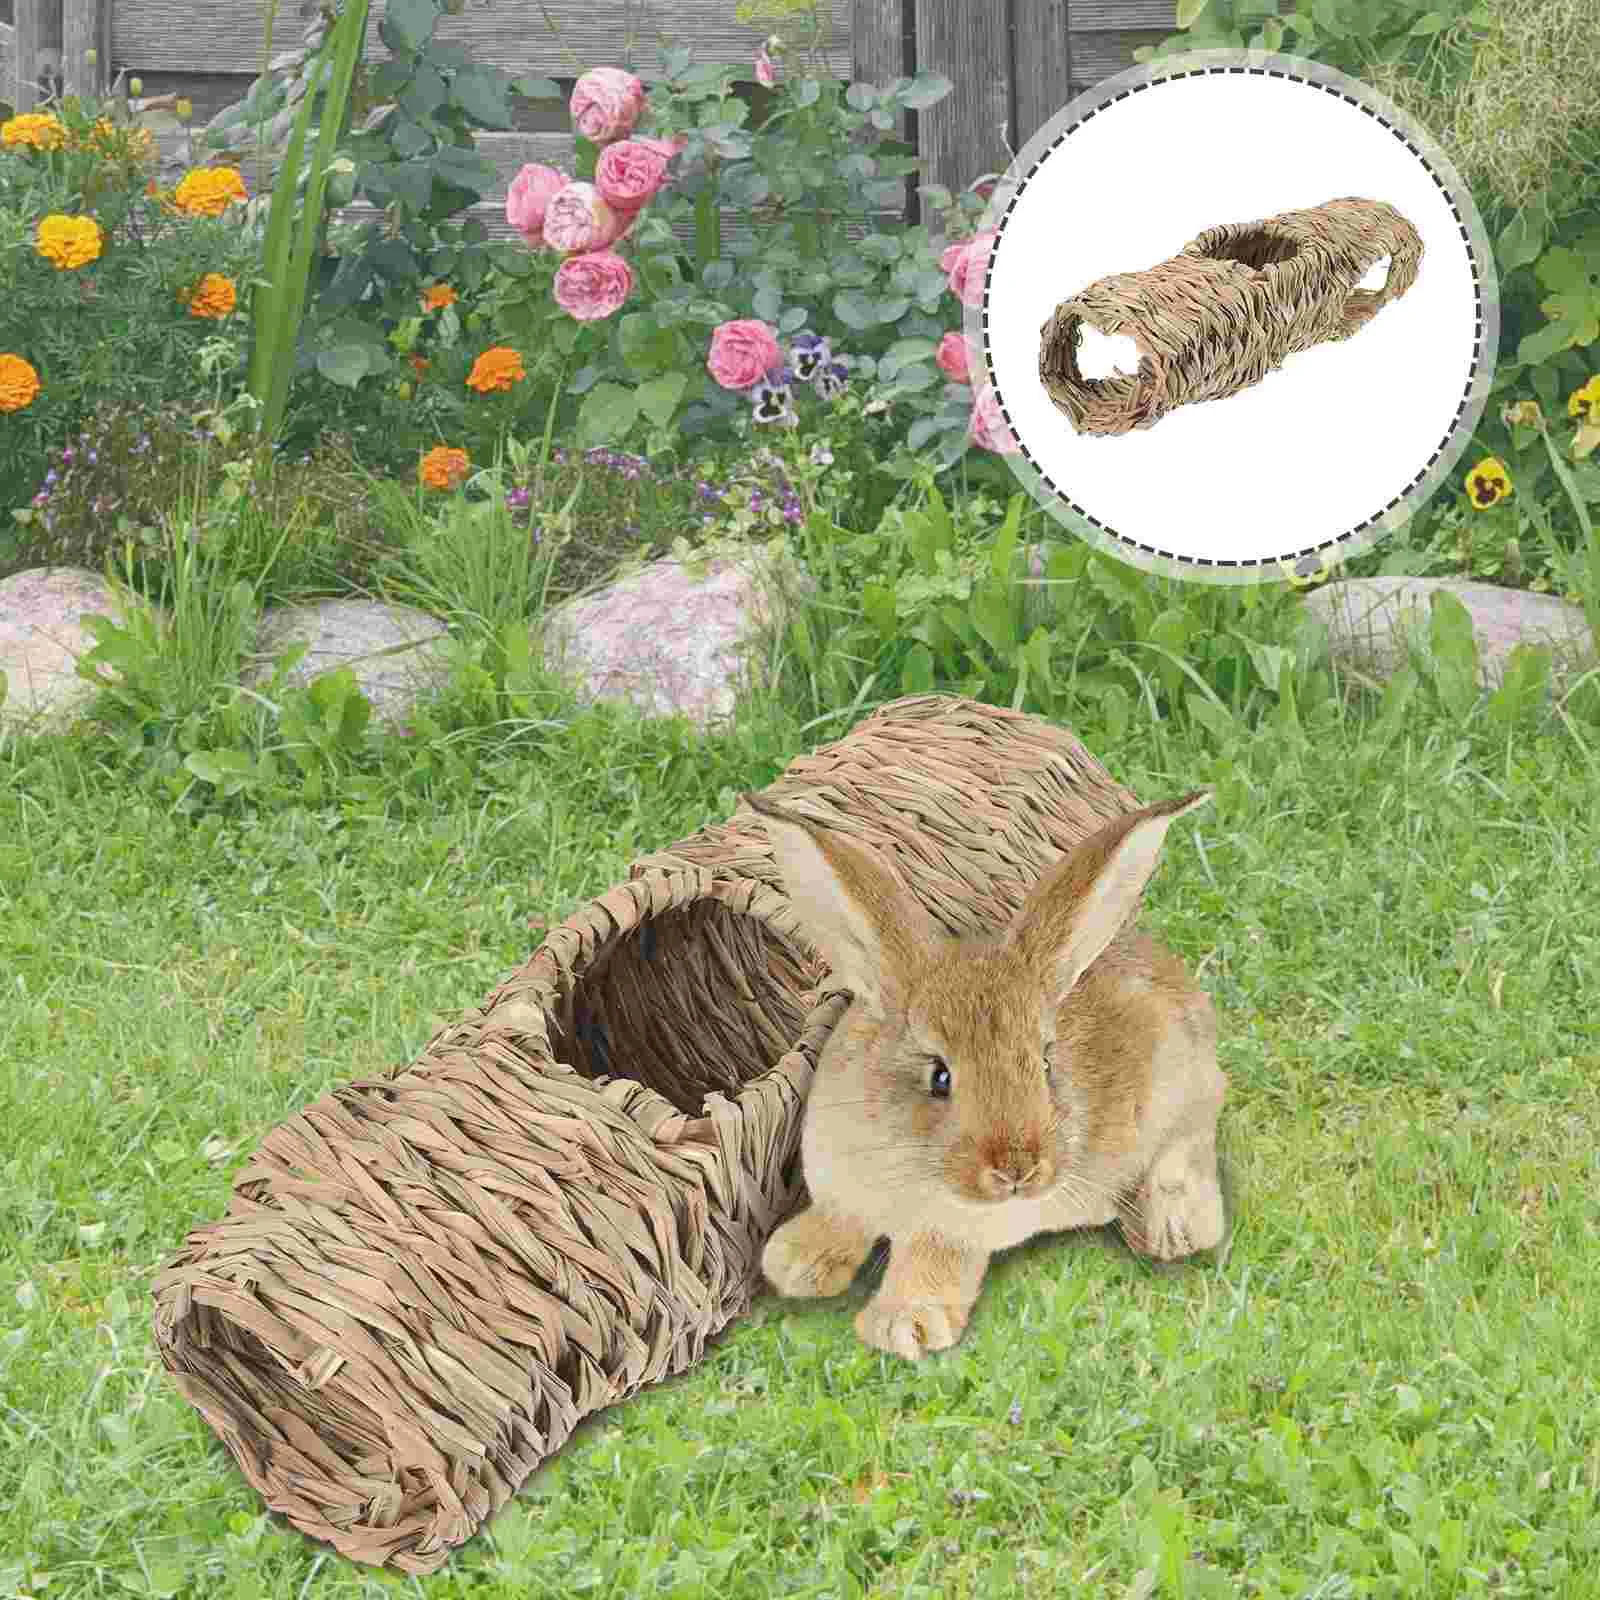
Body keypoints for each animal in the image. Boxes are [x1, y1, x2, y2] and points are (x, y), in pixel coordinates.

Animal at [744, 786, 1227, 1362]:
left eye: (1045, 1063)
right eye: (940, 1077)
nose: (1019, 1170)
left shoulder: (952, 1232)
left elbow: (932, 1263)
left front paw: (904, 1326)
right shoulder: (843, 1192)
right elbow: (840, 1222)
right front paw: (795, 1262)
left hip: (1181, 1096)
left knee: (1187, 1148)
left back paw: (1175, 1229)